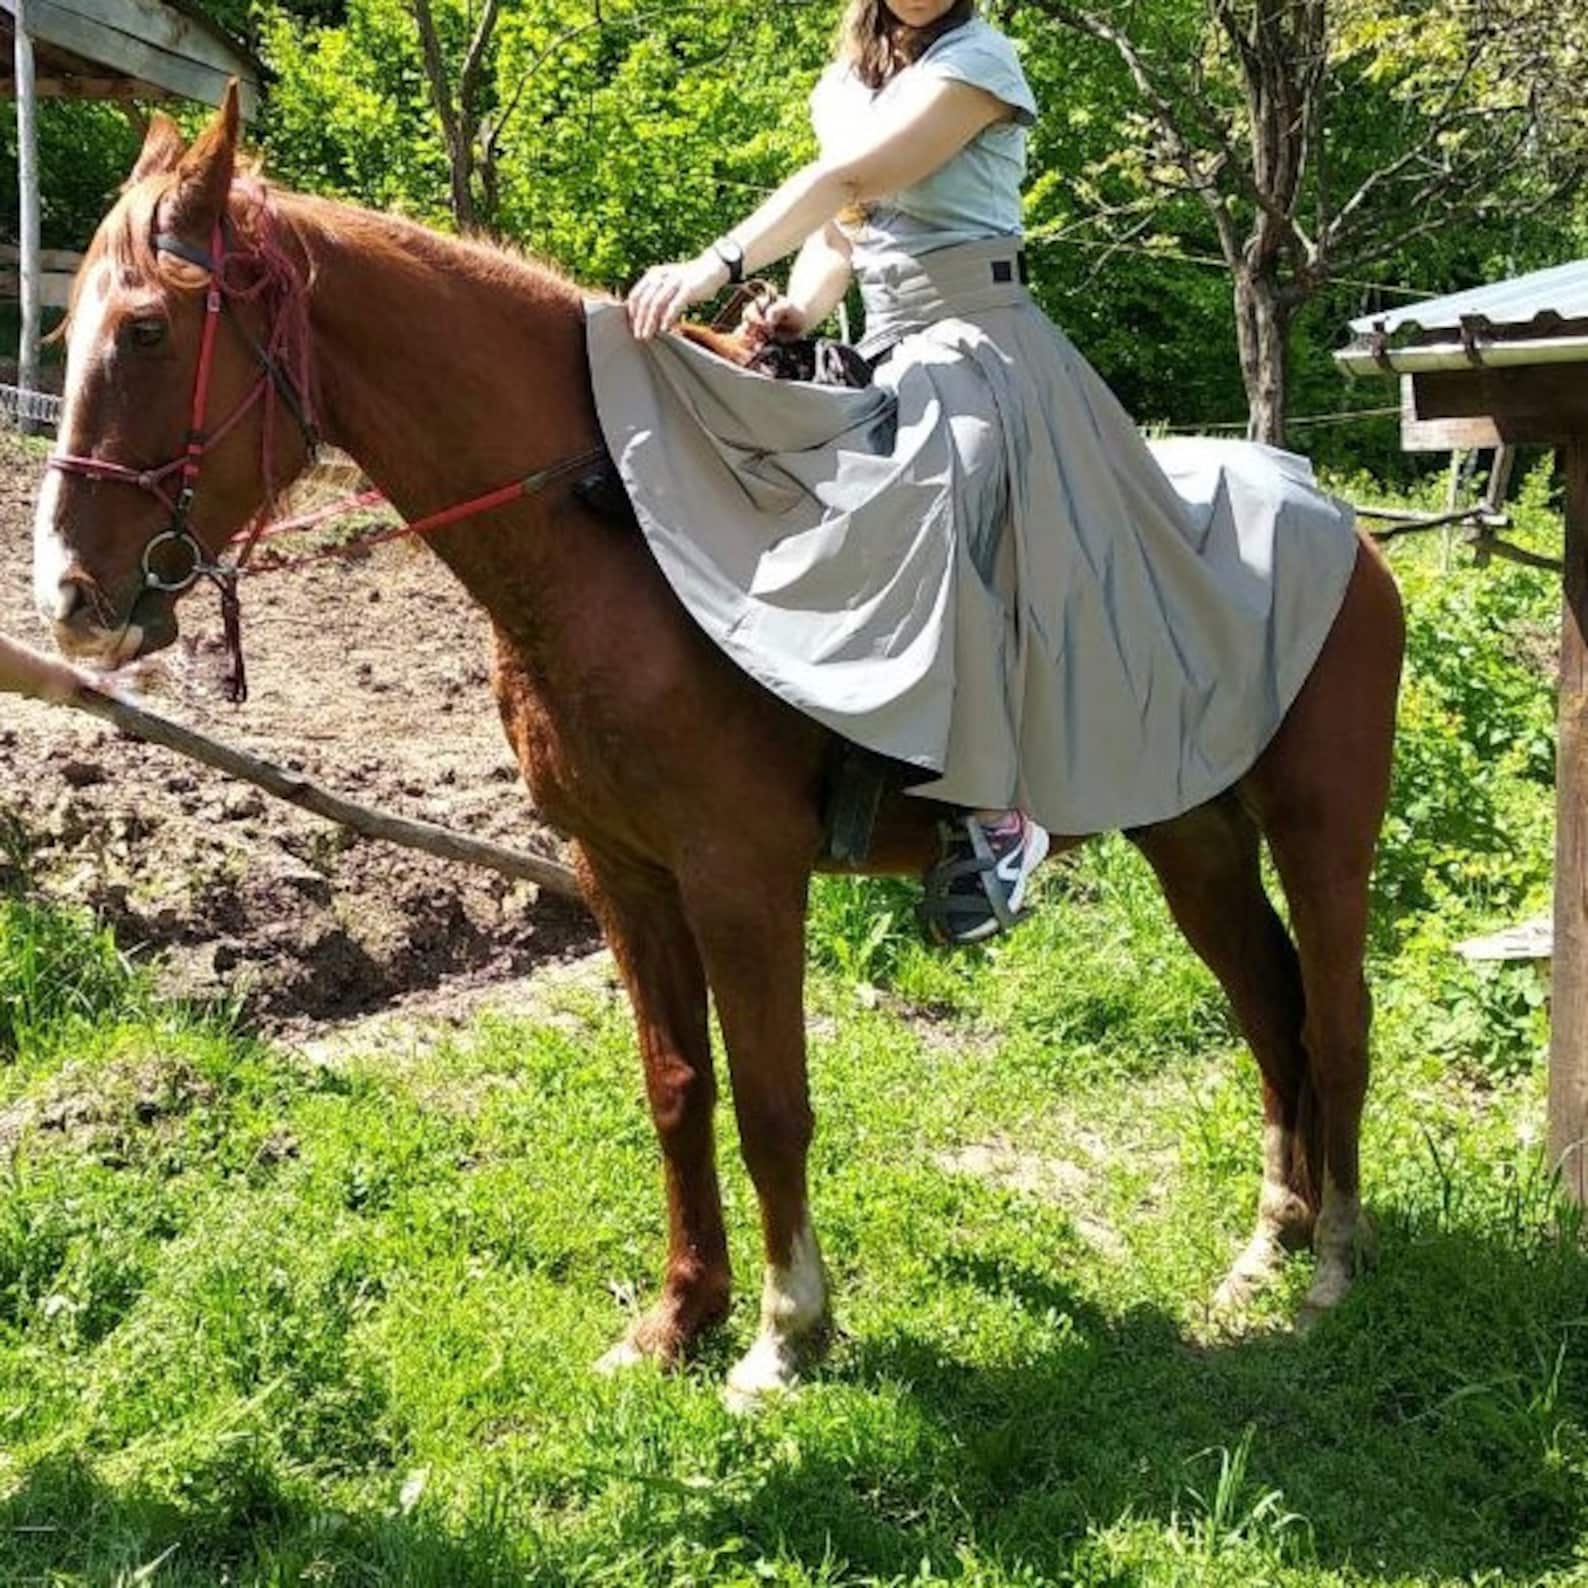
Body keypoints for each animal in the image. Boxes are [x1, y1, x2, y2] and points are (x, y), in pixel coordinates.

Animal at [33, 88, 1403, 1404]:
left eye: (146, 329)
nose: (70, 598)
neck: (616, 528)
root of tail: (1342, 521)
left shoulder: (743, 879)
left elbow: (770, 1104)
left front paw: (786, 1336)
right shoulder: (621, 873)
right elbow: (676, 1089)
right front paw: (679, 1317)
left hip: (1320, 836)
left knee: (1336, 1013)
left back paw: (1333, 1263)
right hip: (1193, 834)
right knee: (1267, 1005)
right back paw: (1266, 1245)